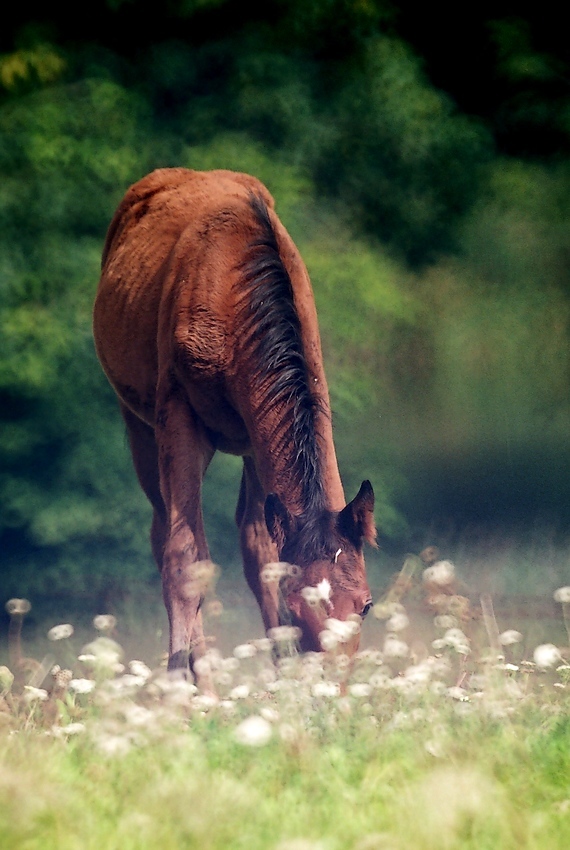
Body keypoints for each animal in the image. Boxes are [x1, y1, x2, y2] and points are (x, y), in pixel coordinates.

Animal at [92, 167, 378, 676]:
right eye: (296, 608)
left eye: (366, 605)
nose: (333, 685)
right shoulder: (177, 414)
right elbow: (186, 558)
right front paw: (181, 688)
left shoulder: (261, 431)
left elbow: (261, 552)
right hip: (139, 424)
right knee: (163, 534)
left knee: (250, 540)